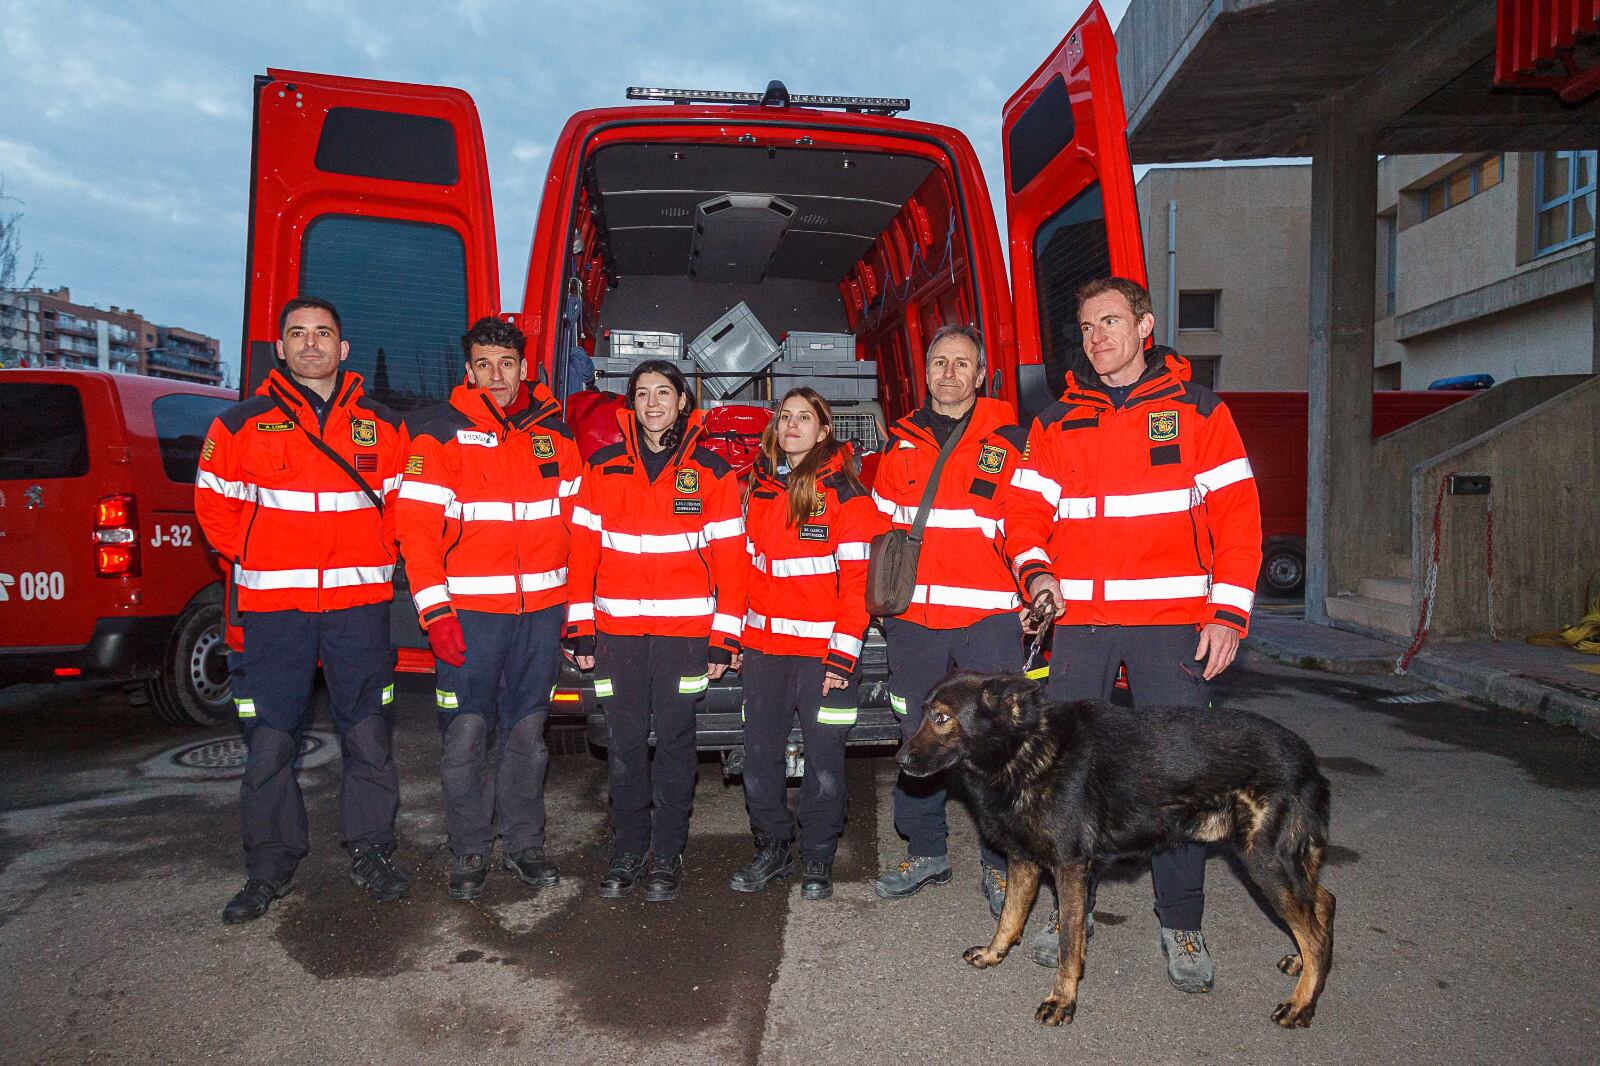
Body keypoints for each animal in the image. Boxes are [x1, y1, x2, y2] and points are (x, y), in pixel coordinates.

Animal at [902, 669, 1337, 1024]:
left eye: (941, 718)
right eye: (923, 713)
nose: (901, 759)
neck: (1024, 747)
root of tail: (1308, 759)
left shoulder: (1070, 867)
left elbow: (1068, 943)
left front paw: (1062, 1000)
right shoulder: (1024, 861)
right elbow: (1010, 917)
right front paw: (995, 954)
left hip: (1263, 861)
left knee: (1314, 934)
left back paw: (1301, 1004)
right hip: (1280, 862)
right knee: (1324, 902)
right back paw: (1302, 966)